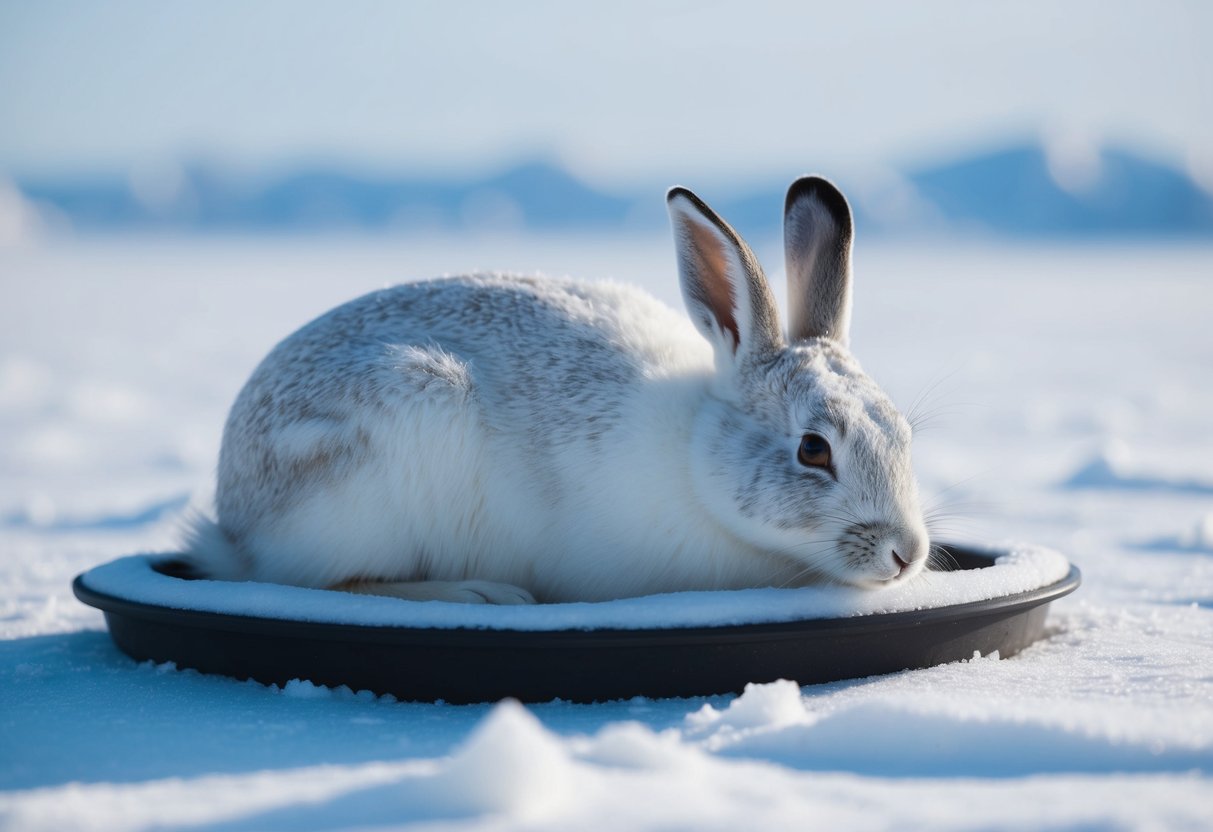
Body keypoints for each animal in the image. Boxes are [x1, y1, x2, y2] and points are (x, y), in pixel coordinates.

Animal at [184, 176, 930, 604]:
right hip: (376, 468)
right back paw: (481, 594)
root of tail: (236, 516)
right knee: (333, 580)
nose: (907, 555)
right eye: (812, 449)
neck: (697, 451)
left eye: (903, 433)